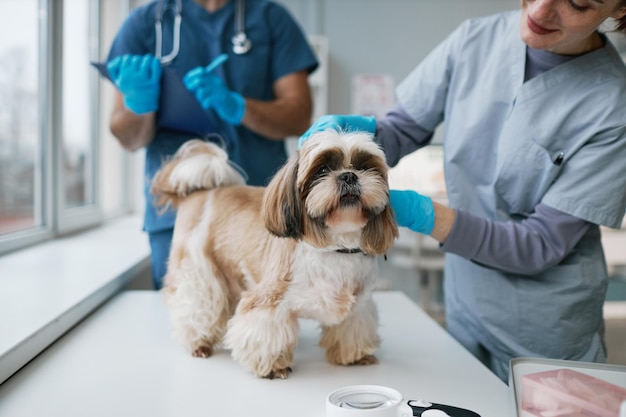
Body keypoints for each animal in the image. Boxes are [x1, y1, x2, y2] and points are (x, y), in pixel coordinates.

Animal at [151, 130, 394, 376]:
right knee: (197, 303)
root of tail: (201, 192)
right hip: (199, 271)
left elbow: (353, 327)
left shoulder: (359, 304)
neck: (336, 248)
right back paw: (199, 343)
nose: (349, 176)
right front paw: (273, 367)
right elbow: (265, 332)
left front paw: (356, 356)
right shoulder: (268, 300)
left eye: (365, 167)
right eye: (322, 170)